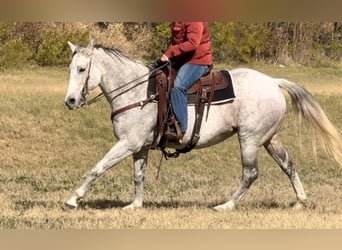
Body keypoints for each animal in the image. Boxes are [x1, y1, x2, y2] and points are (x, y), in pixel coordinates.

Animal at [63, 41, 342, 211]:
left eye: (82, 69)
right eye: (69, 69)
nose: (70, 101)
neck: (139, 92)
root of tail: (274, 82)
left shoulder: (127, 144)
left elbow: (97, 168)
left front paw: (73, 199)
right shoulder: (139, 147)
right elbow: (138, 176)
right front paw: (135, 205)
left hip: (249, 139)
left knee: (250, 173)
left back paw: (226, 206)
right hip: (269, 139)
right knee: (288, 165)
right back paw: (300, 200)